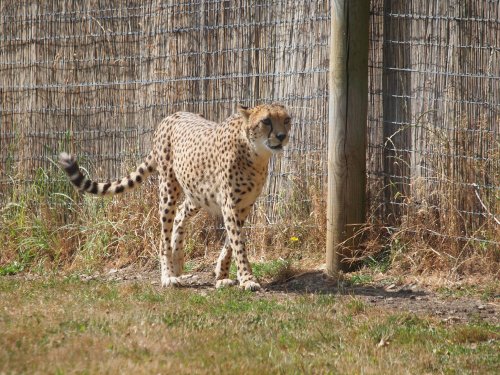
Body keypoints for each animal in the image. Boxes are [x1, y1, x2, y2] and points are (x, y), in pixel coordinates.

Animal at [59, 104, 292, 292]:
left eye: (287, 119)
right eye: (266, 121)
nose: (282, 136)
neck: (255, 154)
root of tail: (171, 115)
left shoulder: (243, 206)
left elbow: (230, 243)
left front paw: (222, 275)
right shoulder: (231, 206)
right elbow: (238, 244)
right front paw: (247, 279)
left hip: (197, 195)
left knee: (180, 215)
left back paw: (178, 261)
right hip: (168, 189)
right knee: (164, 234)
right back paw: (168, 275)